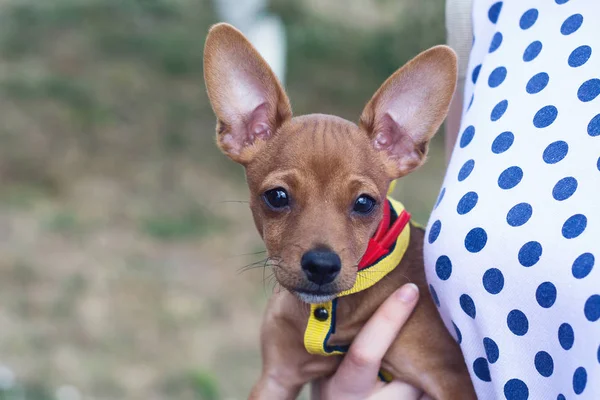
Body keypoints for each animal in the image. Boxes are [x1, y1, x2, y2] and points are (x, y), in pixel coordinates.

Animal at [204, 23, 476, 398]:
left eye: (364, 203)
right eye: (277, 197)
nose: (321, 265)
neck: (334, 313)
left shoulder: (455, 382)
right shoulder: (276, 378)